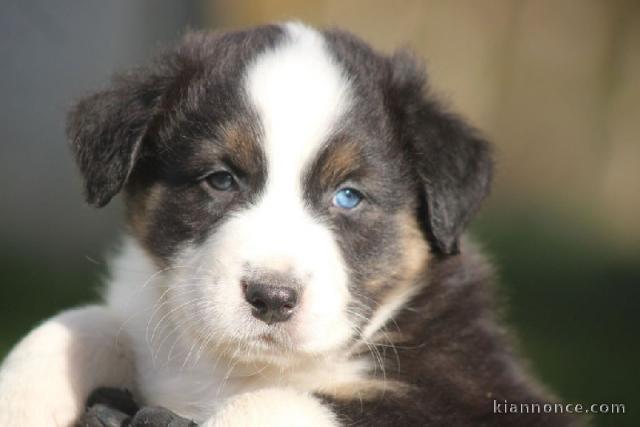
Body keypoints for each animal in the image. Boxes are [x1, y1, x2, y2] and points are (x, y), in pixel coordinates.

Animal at [0, 23, 576, 427]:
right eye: (221, 180)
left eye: (349, 196)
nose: (272, 297)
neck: (240, 368)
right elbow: (76, 324)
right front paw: (20, 400)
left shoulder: (465, 393)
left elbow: (273, 404)